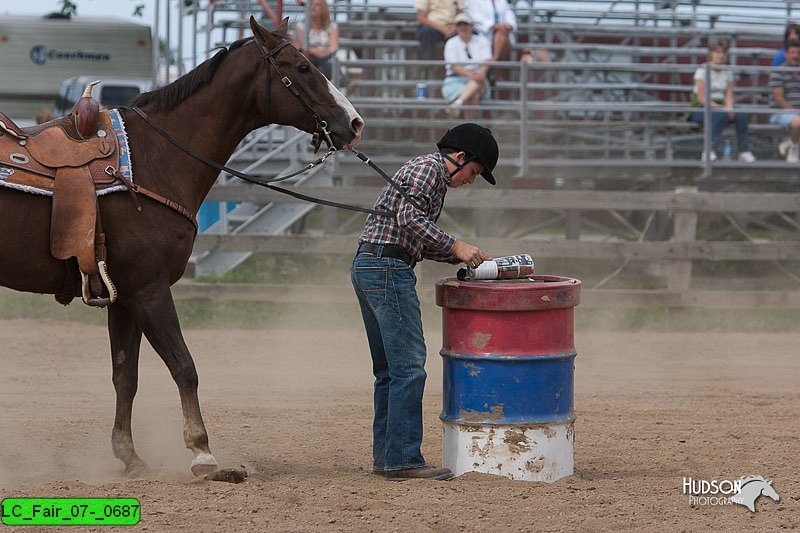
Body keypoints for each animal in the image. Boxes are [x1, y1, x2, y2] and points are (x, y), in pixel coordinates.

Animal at [0, 16, 362, 476]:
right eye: (303, 67)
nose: (355, 123)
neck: (156, 156)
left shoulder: (124, 295)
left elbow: (126, 375)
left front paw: (129, 455)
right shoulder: (149, 290)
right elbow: (183, 365)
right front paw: (202, 452)